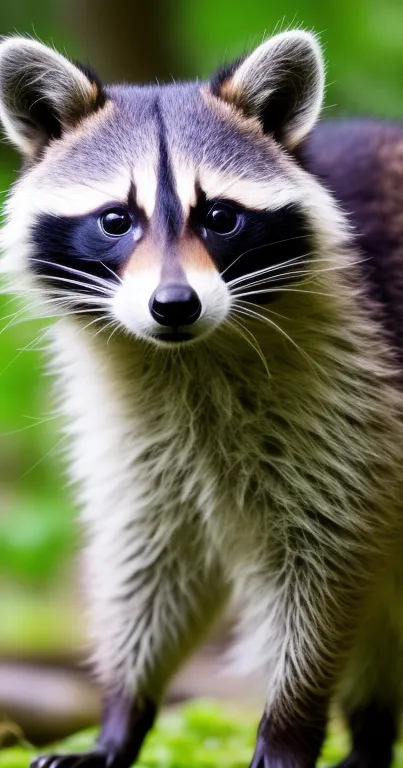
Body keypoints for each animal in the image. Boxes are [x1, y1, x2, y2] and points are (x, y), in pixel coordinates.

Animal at [0, 27, 403, 768]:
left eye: (219, 216)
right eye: (115, 220)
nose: (173, 304)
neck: (183, 356)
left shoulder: (353, 397)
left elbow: (325, 572)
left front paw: (289, 724)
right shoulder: (135, 442)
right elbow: (151, 564)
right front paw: (122, 714)